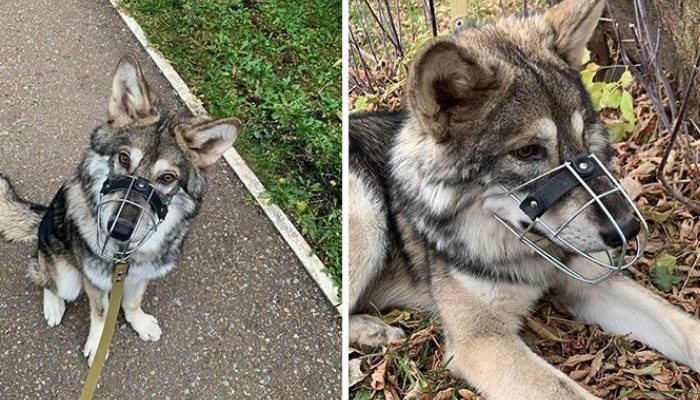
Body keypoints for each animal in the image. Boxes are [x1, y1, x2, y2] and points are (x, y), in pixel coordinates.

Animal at [0, 55, 241, 365]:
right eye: (124, 158)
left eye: (167, 178)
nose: (120, 229)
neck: (127, 254)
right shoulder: (95, 281)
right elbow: (101, 313)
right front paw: (97, 345)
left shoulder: (139, 275)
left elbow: (132, 301)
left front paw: (139, 322)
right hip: (64, 273)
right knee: (44, 276)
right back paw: (53, 304)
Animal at [349, 0, 700, 398]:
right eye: (528, 152)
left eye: (582, 135)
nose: (627, 228)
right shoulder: (482, 341)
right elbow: (566, 390)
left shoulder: (593, 283)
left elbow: (685, 330)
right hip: (366, 215)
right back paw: (372, 331)